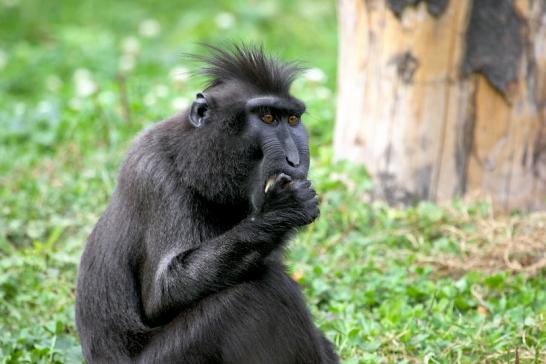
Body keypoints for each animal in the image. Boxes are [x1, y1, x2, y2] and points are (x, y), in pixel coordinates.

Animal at [74, 45, 338, 364]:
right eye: (267, 118)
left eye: (292, 120)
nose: (294, 160)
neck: (187, 158)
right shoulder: (157, 178)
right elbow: (163, 292)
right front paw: (280, 212)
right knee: (258, 291)